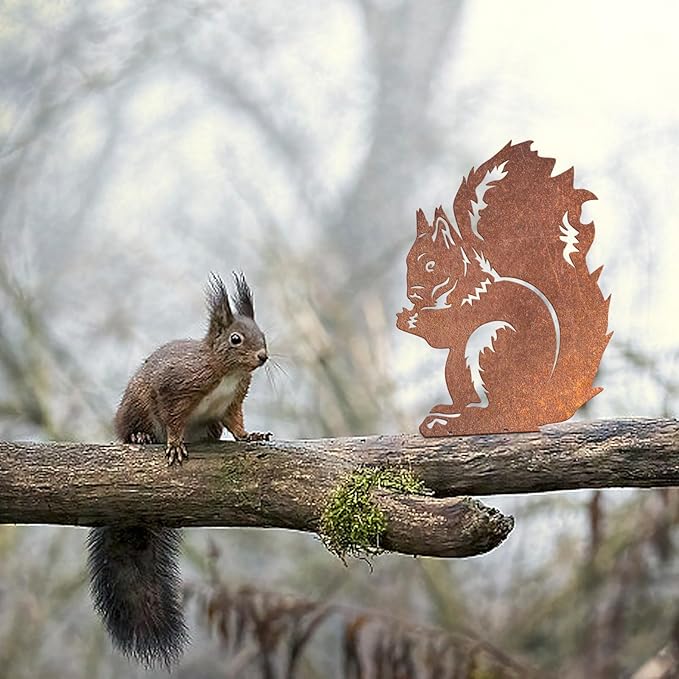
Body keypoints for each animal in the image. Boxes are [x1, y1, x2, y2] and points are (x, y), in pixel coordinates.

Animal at [87, 272, 271, 667]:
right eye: (236, 338)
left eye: (262, 333)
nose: (263, 357)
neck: (227, 373)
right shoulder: (175, 390)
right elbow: (172, 419)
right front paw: (173, 444)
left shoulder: (232, 404)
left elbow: (237, 424)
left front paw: (251, 435)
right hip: (135, 406)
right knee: (135, 427)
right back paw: (141, 437)